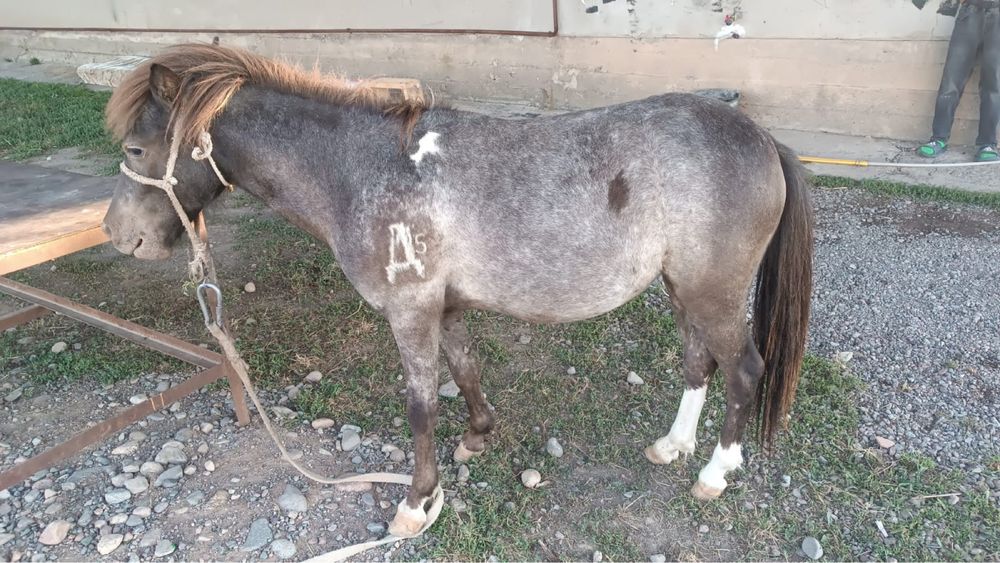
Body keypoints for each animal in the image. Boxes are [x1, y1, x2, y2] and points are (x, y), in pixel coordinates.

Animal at [101, 44, 813, 537]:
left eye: (136, 148)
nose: (117, 234)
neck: (361, 170)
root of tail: (762, 138)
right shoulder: (443, 309)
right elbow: (465, 368)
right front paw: (478, 435)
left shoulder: (409, 312)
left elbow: (421, 408)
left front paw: (417, 503)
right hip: (683, 289)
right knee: (699, 362)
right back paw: (673, 446)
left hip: (713, 294)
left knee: (743, 369)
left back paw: (714, 473)